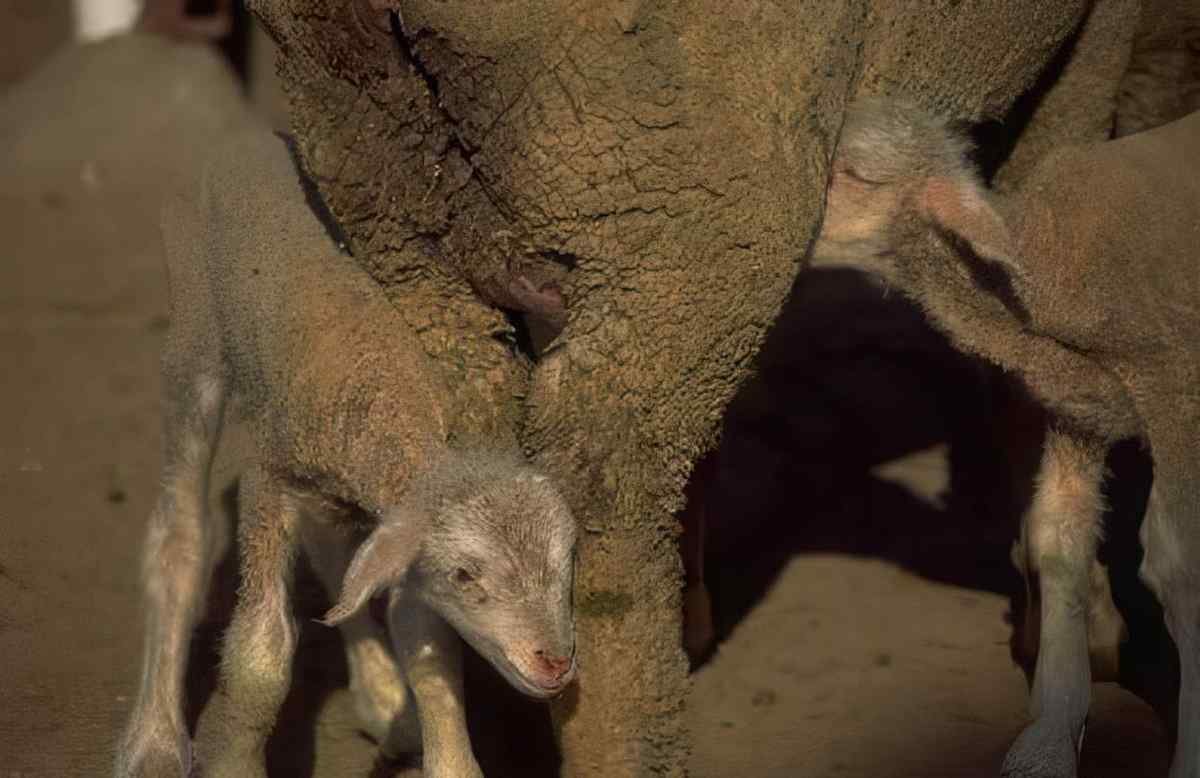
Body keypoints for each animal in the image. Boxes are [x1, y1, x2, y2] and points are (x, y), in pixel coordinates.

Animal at [114, 121, 578, 778]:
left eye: (569, 559)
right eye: (466, 575)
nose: (555, 662)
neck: (378, 391)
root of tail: (244, 133)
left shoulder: (402, 522)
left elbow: (425, 646)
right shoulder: (268, 480)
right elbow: (260, 652)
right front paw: (231, 758)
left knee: (334, 553)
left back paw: (384, 698)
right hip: (193, 317)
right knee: (178, 533)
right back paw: (152, 739)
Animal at [810, 96, 1200, 778]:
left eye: (856, 174)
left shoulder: (1174, 389)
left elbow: (1181, 569)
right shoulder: (1080, 405)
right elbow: (1057, 536)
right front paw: (1048, 736)